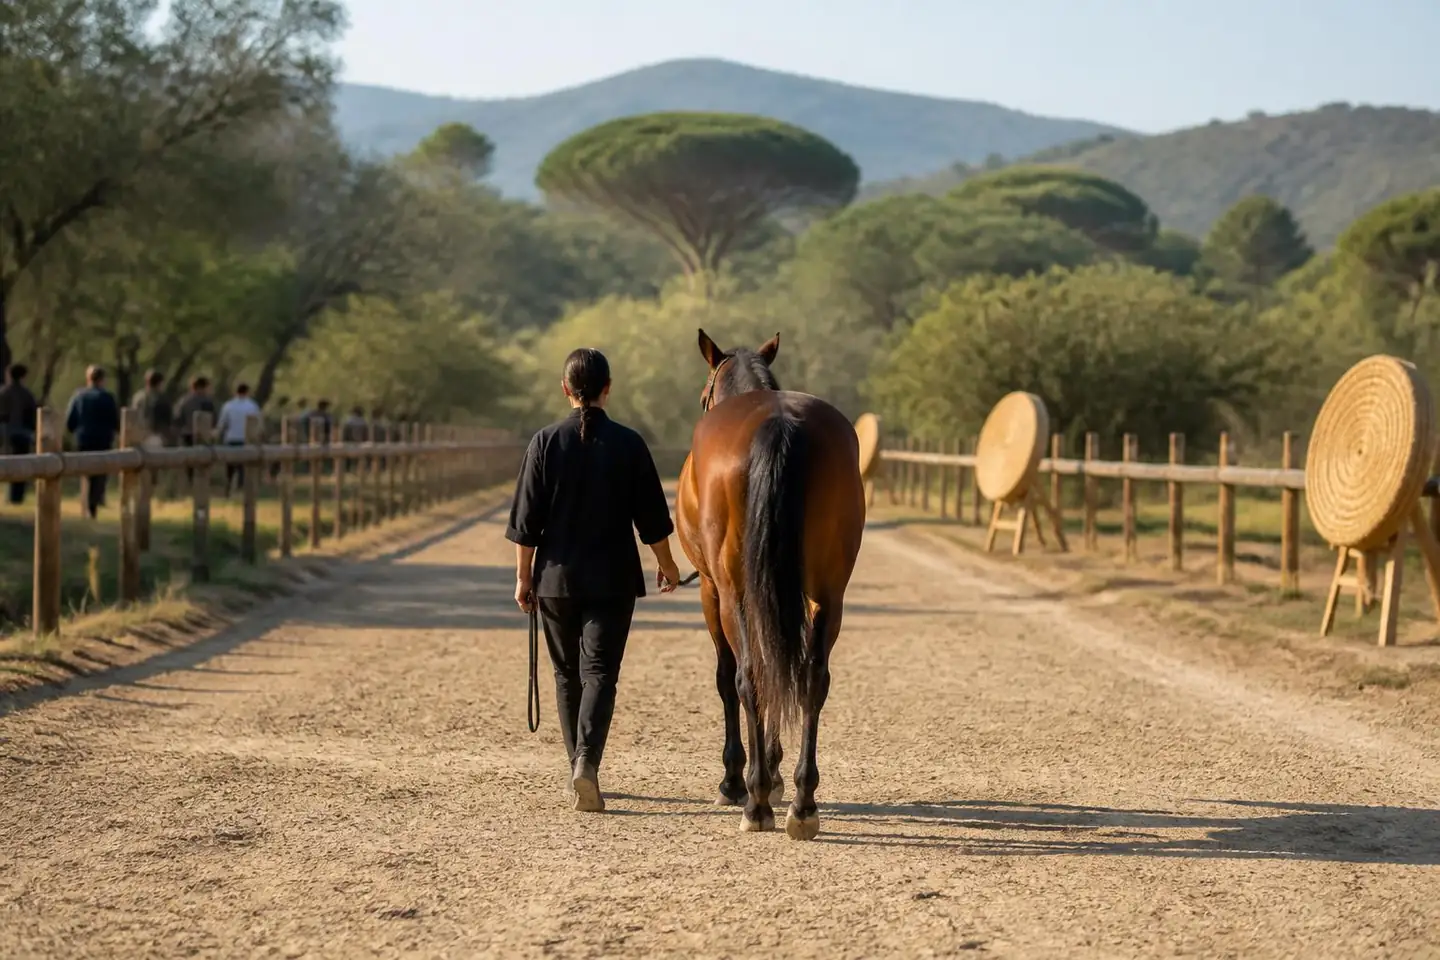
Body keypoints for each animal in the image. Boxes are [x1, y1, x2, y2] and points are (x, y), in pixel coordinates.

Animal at [675, 328, 866, 840]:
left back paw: (755, 801)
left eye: (701, 395)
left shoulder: (712, 591)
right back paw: (802, 803)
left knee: (747, 678)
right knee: (811, 678)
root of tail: (780, 425)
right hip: (828, 595)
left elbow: (729, 677)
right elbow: (783, 666)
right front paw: (778, 774)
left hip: (732, 594)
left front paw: (736, 780)